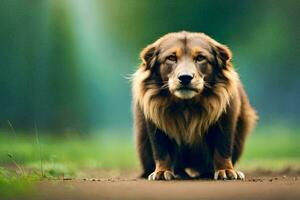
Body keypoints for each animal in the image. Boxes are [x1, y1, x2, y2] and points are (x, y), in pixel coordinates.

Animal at [132, 30, 256, 180]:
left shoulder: (226, 117)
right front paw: (161, 172)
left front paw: (226, 170)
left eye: (200, 58)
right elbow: (161, 151)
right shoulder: (155, 120)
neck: (187, 106)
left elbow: (223, 147)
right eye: (171, 58)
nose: (185, 77)